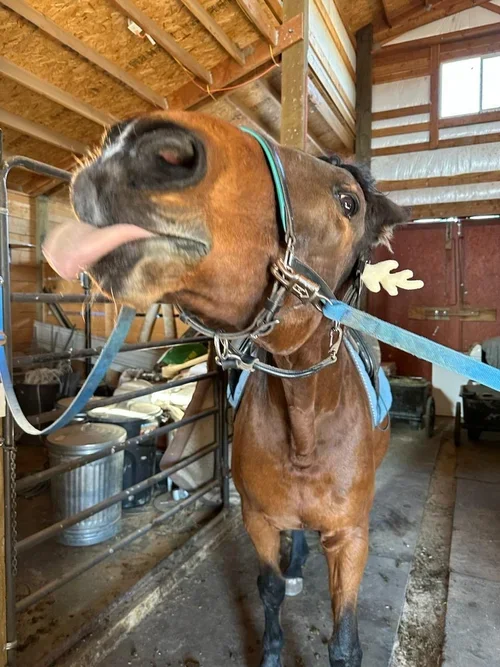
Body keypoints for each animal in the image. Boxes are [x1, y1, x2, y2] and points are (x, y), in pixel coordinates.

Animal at [43, 110, 409, 667]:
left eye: (349, 203)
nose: (141, 148)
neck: (306, 425)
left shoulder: (350, 537)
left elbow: (345, 642)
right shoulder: (259, 519)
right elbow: (270, 589)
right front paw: (273, 650)